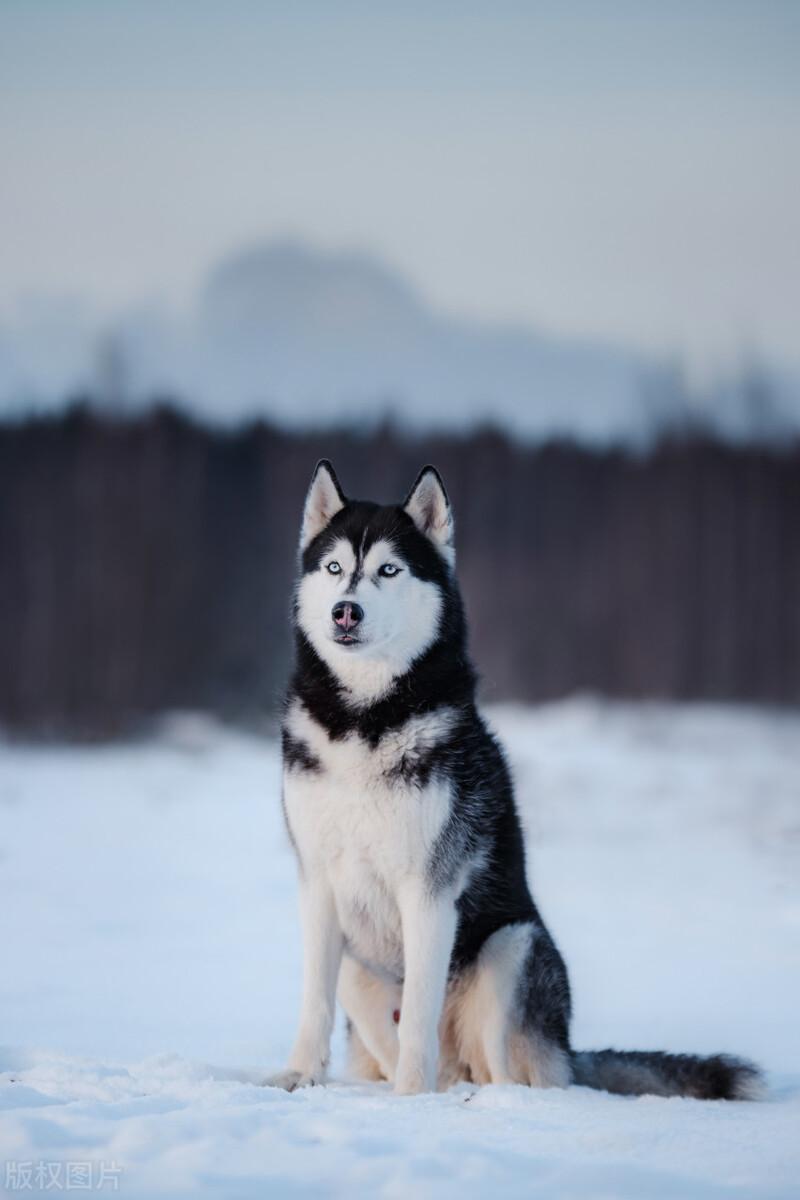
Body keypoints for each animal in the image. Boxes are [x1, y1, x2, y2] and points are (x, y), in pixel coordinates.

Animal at [266, 463, 762, 1099]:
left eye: (388, 570)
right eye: (333, 568)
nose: (345, 611)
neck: (365, 718)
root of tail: (571, 1053)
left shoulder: (429, 890)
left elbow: (418, 1013)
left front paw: (408, 1100)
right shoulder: (319, 883)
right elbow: (313, 1002)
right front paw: (300, 1075)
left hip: (513, 947)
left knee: (512, 1074)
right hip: (360, 966)